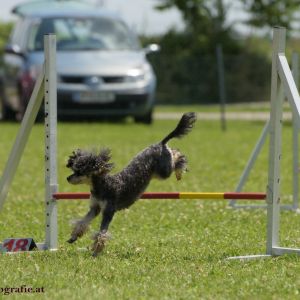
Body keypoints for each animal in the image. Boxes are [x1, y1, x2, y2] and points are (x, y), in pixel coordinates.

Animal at [66, 111, 197, 256]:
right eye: (74, 169)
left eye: (79, 171)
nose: (68, 178)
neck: (103, 185)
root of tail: (160, 144)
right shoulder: (95, 208)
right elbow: (82, 222)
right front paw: (73, 236)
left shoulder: (108, 211)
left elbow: (102, 233)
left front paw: (97, 250)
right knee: (173, 152)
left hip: (164, 172)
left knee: (177, 156)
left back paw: (179, 169)